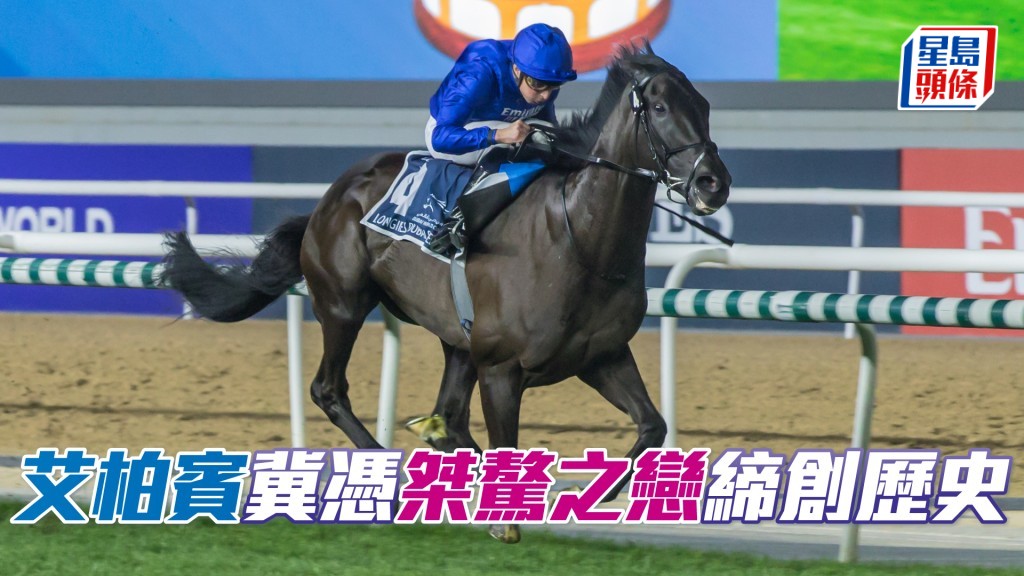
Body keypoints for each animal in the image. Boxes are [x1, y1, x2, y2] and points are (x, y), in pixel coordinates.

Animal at [161, 44, 731, 539]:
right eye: (659, 107)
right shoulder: (502, 367)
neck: (581, 241)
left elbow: (652, 427)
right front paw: (507, 519)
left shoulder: (601, 355)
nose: (713, 183)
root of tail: (330, 198)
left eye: (704, 105)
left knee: (450, 418)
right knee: (329, 388)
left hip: (456, 340)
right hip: (343, 303)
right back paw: (384, 478)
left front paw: (583, 497)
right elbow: (504, 445)